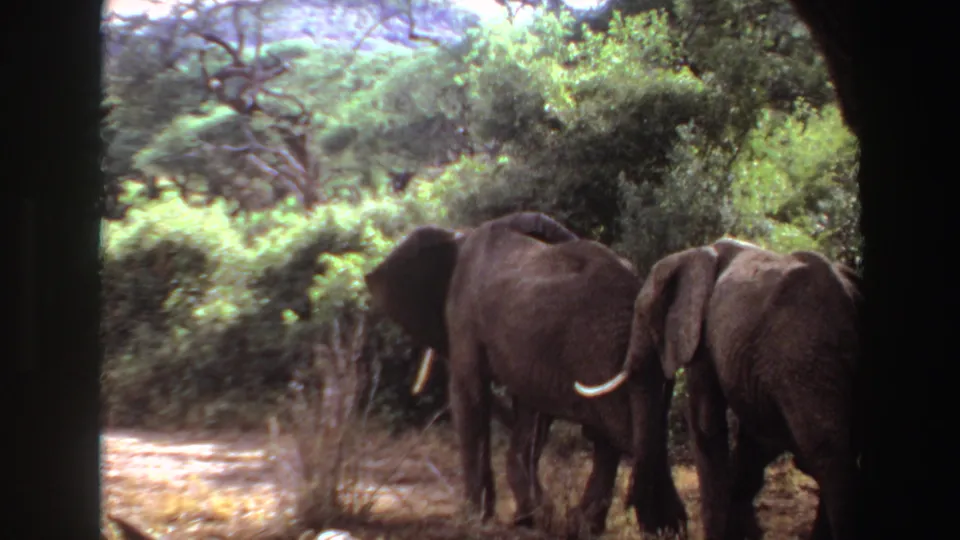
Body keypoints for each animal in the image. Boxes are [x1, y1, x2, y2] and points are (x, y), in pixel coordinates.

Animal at [364, 211, 688, 537]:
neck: (460, 235)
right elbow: (529, 413)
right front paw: (528, 518)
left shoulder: (464, 315)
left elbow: (470, 396)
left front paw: (475, 517)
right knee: (620, 434)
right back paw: (623, 527)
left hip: (600, 349)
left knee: (620, 432)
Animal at [574, 238, 862, 540]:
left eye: (642, 314)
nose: (633, 509)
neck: (694, 254)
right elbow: (752, 441)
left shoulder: (703, 339)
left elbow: (706, 425)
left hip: (804, 357)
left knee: (826, 454)